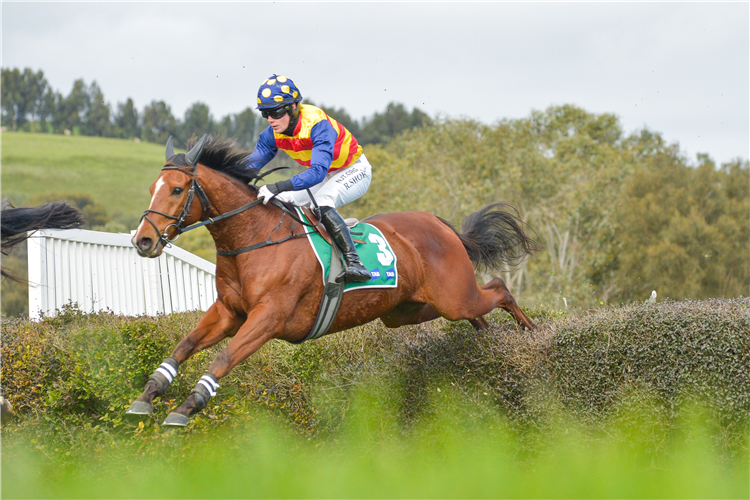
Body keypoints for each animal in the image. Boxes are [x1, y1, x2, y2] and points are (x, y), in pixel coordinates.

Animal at [128, 136, 540, 426]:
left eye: (177, 189)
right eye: (151, 188)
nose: (143, 241)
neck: (254, 240)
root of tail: (439, 224)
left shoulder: (268, 318)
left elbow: (224, 358)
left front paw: (186, 407)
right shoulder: (229, 312)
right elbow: (184, 345)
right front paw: (146, 397)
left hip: (453, 296)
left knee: (499, 289)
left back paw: (532, 334)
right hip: (408, 310)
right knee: (477, 313)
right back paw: (488, 342)